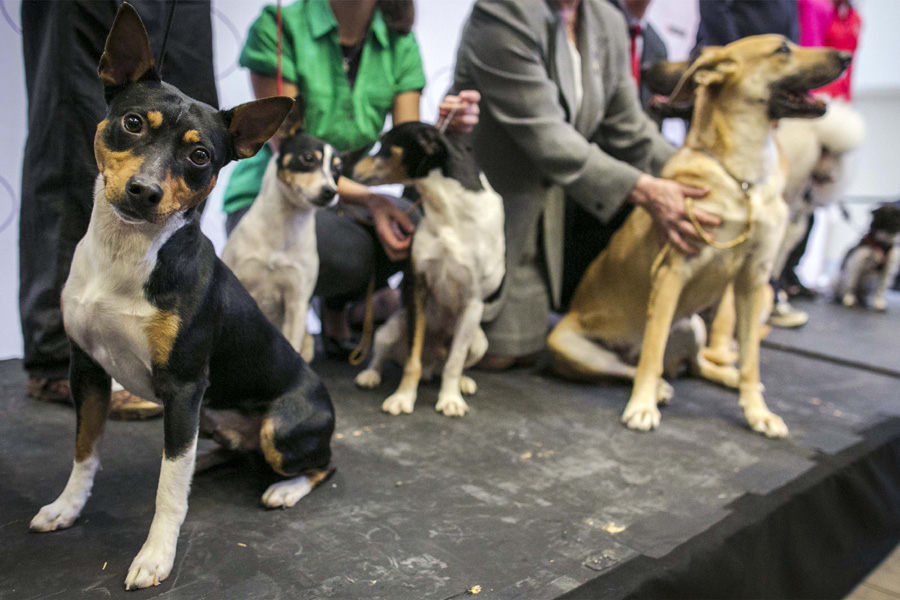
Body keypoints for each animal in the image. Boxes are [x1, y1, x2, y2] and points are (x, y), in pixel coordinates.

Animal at [352, 123, 506, 418]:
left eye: (384, 143)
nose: (344, 165)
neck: (448, 213)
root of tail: (432, 362)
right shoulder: (418, 288)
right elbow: (412, 361)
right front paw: (402, 398)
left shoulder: (473, 301)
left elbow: (455, 362)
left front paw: (451, 400)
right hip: (390, 329)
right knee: (383, 356)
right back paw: (370, 375)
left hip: (479, 341)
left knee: (454, 364)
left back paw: (463, 382)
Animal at [544, 36, 848, 436]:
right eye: (782, 49)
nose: (846, 57)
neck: (743, 180)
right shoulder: (672, 272)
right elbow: (652, 353)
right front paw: (641, 406)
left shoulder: (752, 280)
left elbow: (751, 360)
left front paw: (758, 411)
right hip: (568, 343)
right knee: (632, 366)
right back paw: (657, 389)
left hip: (693, 326)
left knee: (697, 364)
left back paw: (726, 377)